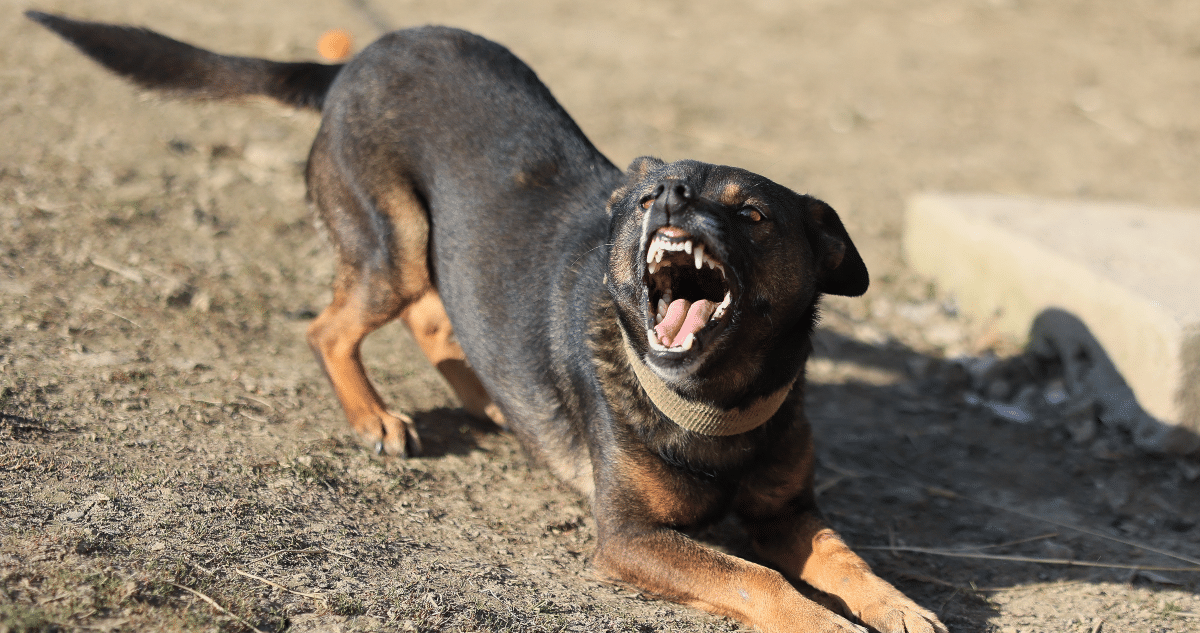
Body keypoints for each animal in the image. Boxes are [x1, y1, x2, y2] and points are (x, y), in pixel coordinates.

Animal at [25, 11, 945, 633]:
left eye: (751, 213)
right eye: (653, 194)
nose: (672, 196)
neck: (714, 403)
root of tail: (353, 61)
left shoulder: (790, 511)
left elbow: (848, 559)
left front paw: (899, 606)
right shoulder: (629, 537)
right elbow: (760, 580)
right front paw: (827, 621)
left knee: (441, 323)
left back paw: (492, 402)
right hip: (393, 243)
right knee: (330, 328)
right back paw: (374, 416)